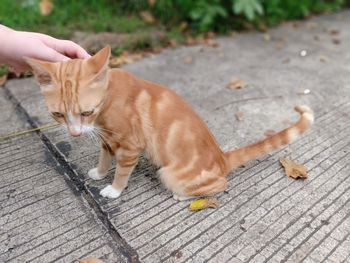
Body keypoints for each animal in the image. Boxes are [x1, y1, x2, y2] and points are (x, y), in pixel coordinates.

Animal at [26, 46, 314, 201]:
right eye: (58, 115)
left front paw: (114, 190)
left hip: (169, 173)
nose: (74, 133)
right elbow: (104, 158)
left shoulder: (130, 147)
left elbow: (120, 173)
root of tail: (221, 158)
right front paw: (99, 172)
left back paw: (184, 194)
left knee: (221, 184)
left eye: (87, 111)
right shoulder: (108, 140)